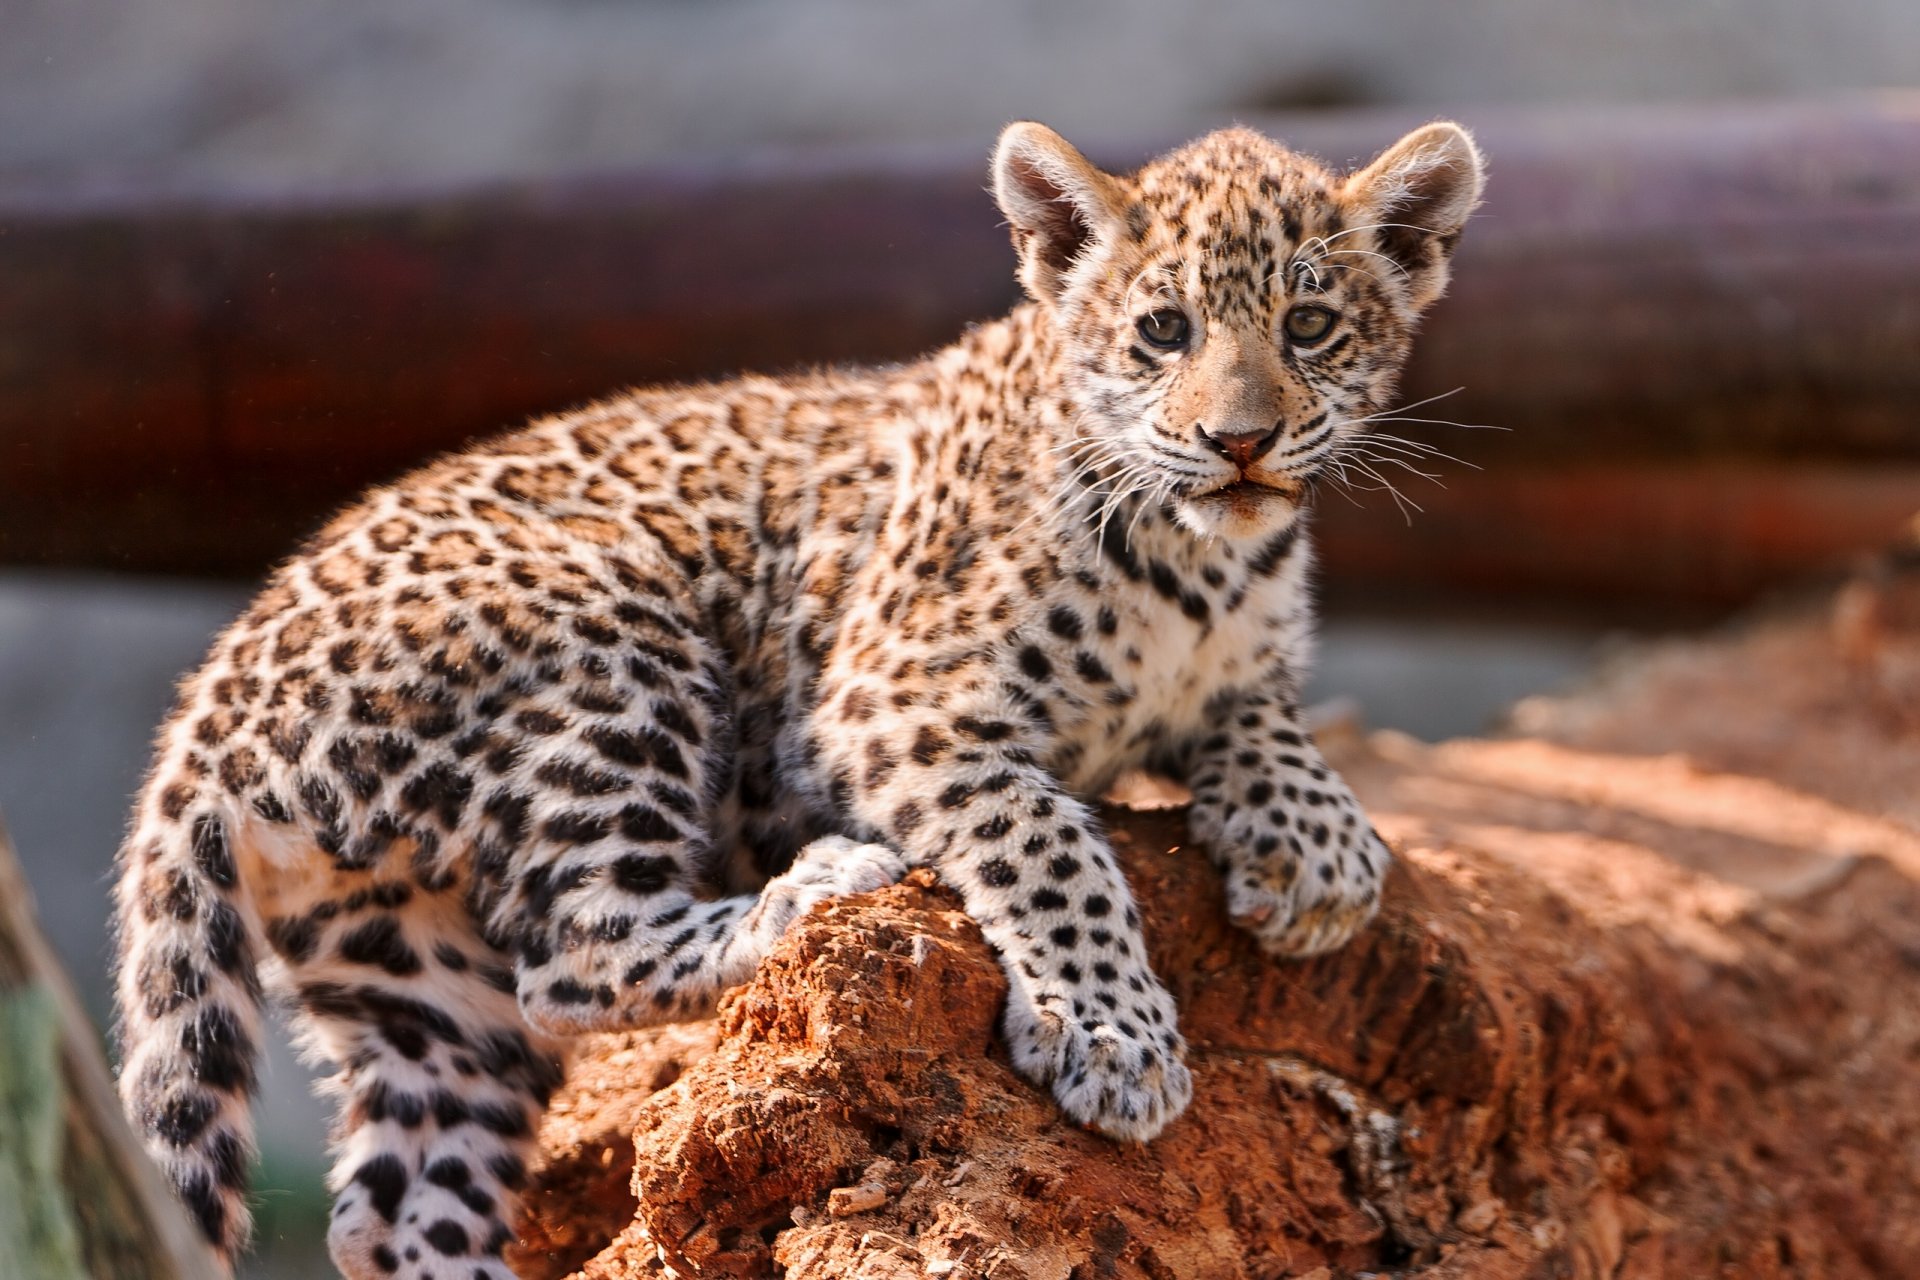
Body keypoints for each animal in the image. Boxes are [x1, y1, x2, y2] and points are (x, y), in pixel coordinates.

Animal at [112, 117, 1483, 1278]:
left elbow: (1269, 719)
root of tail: (204, 708)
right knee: (576, 951)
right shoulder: (889, 696)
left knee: (395, 1202)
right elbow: (1049, 839)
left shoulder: (1234, 664)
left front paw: (1314, 852)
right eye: (1161, 330)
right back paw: (814, 885)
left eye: (1309, 323)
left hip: (408, 974)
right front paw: (1112, 1034)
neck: (1202, 564)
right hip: (611, 639)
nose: (1238, 442)